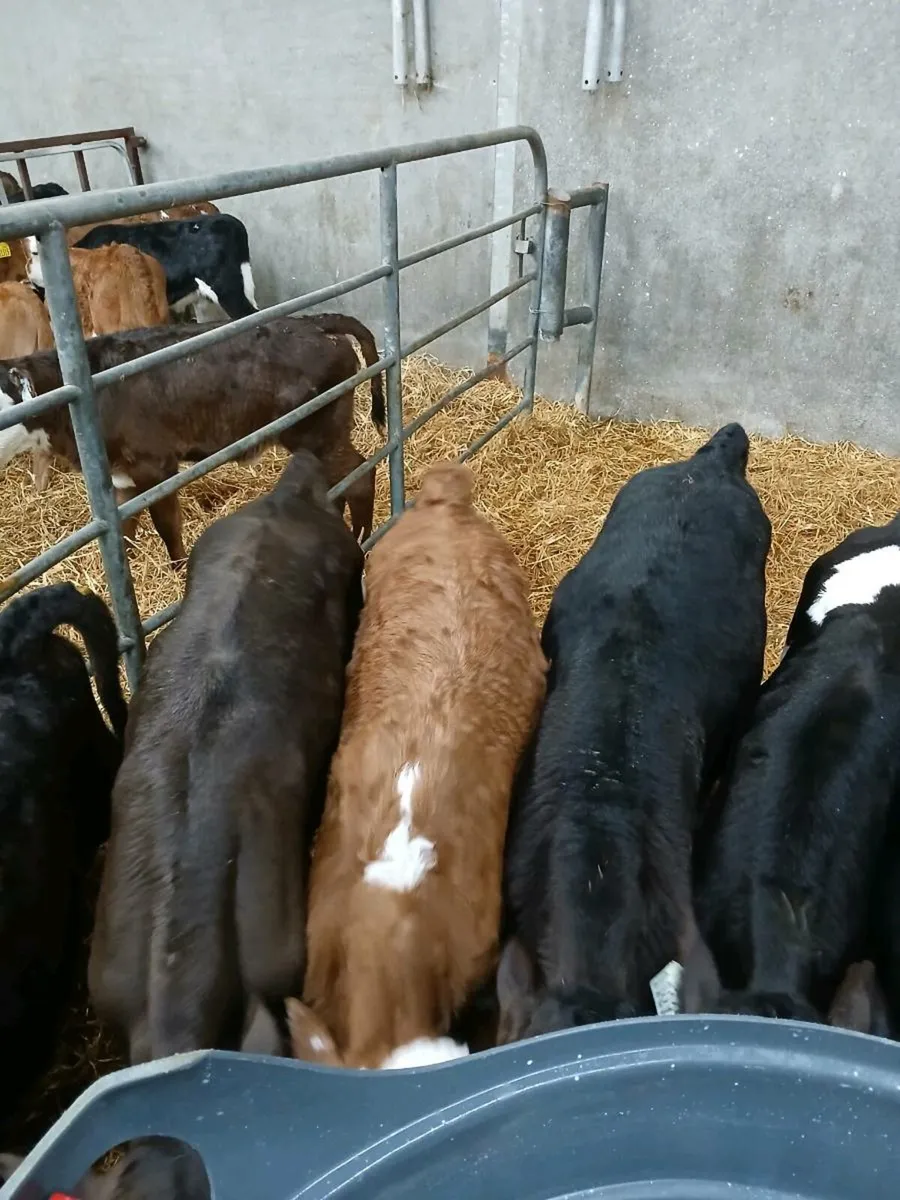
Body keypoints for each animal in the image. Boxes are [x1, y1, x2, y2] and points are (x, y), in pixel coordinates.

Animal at [0, 314, 385, 562]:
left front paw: (178, 569)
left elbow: (167, 525)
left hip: (318, 429)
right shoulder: (121, 474)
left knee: (359, 475)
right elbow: (124, 530)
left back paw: (361, 538)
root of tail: (312, 321)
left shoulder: (155, 465)